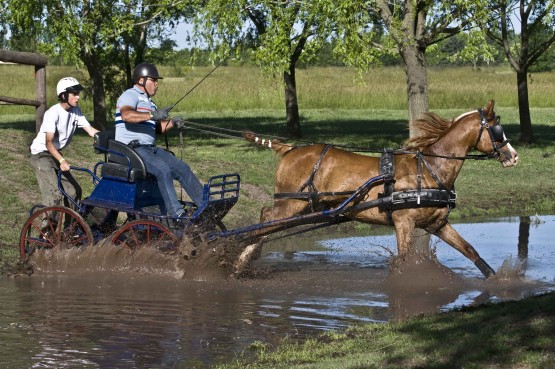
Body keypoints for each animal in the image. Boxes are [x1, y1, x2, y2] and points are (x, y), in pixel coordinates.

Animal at [241, 99, 520, 278]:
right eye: (497, 129)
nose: (513, 156)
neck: (429, 169)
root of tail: (290, 149)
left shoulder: (437, 224)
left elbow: (470, 251)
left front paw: (497, 281)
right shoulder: (404, 222)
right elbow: (404, 259)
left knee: (265, 224)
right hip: (291, 203)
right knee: (263, 222)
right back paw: (240, 259)